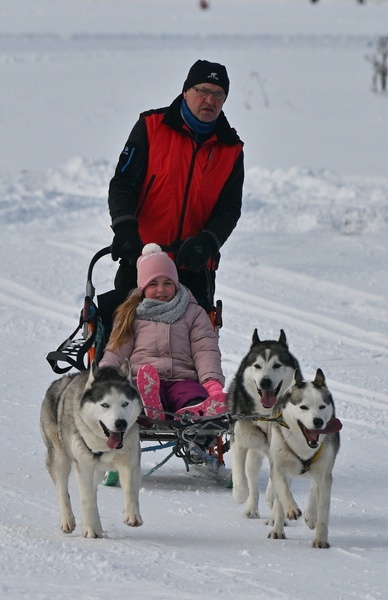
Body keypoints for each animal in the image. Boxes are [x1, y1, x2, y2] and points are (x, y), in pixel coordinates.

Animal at [40, 360, 143, 540]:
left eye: (125, 403)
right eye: (105, 405)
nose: (121, 423)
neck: (103, 445)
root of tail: (60, 381)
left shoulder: (129, 461)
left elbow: (130, 489)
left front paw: (132, 515)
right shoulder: (83, 465)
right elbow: (86, 499)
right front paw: (90, 529)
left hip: (98, 471)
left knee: (93, 491)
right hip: (60, 459)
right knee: (63, 492)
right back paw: (68, 520)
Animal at [227, 330, 300, 516]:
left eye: (277, 365)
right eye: (257, 366)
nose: (265, 382)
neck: (267, 416)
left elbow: (277, 479)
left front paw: (273, 496)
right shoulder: (239, 441)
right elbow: (240, 477)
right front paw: (240, 494)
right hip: (253, 452)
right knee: (251, 480)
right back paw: (251, 508)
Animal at [266, 368, 342, 548]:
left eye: (322, 406)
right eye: (303, 407)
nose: (318, 421)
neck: (303, 445)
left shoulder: (325, 474)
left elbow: (323, 509)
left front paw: (320, 539)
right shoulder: (278, 467)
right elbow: (283, 490)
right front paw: (291, 509)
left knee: (314, 486)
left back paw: (310, 515)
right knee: (279, 498)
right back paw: (277, 525)